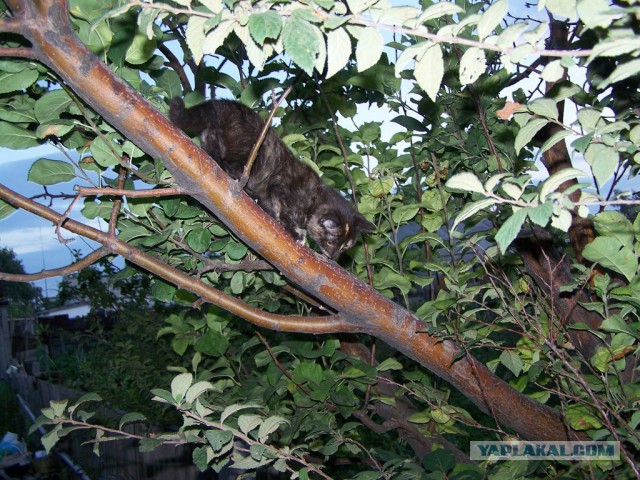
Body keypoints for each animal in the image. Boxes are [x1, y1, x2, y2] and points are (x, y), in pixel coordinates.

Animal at [169, 97, 376, 258]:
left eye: (345, 247)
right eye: (332, 242)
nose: (333, 256)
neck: (315, 199)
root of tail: (227, 105)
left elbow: (269, 205)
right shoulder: (281, 189)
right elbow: (282, 211)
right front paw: (295, 233)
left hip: (212, 137)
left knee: (213, 155)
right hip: (250, 150)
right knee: (229, 162)